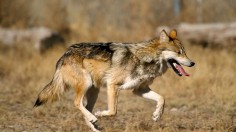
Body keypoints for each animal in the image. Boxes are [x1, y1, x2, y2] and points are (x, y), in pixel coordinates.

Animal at [33, 29, 195, 131]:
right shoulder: (113, 85)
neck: (145, 59)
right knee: (77, 103)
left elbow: (162, 98)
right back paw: (94, 117)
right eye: (179, 52)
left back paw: (94, 124)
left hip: (94, 90)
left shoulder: (139, 89)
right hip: (87, 84)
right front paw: (100, 114)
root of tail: (64, 54)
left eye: (185, 52)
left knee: (85, 109)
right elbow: (113, 111)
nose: (193, 63)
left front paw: (157, 115)